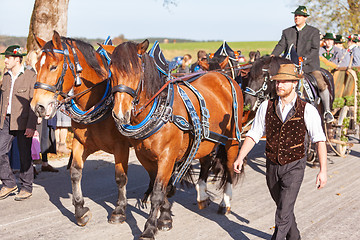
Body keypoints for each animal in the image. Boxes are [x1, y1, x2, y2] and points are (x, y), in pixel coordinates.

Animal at [30, 31, 130, 227]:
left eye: (53, 67)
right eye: (36, 67)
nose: (38, 106)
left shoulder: (121, 146)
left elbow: (120, 177)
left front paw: (119, 211)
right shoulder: (80, 142)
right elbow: (75, 172)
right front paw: (80, 210)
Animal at [102, 40, 245, 239]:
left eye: (136, 72)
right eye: (111, 72)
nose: (120, 114)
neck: (160, 111)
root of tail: (223, 76)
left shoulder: (167, 156)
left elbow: (157, 192)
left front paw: (149, 228)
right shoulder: (145, 157)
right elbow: (160, 187)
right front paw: (165, 217)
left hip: (232, 138)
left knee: (230, 166)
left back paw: (226, 203)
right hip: (205, 140)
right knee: (206, 162)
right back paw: (202, 196)